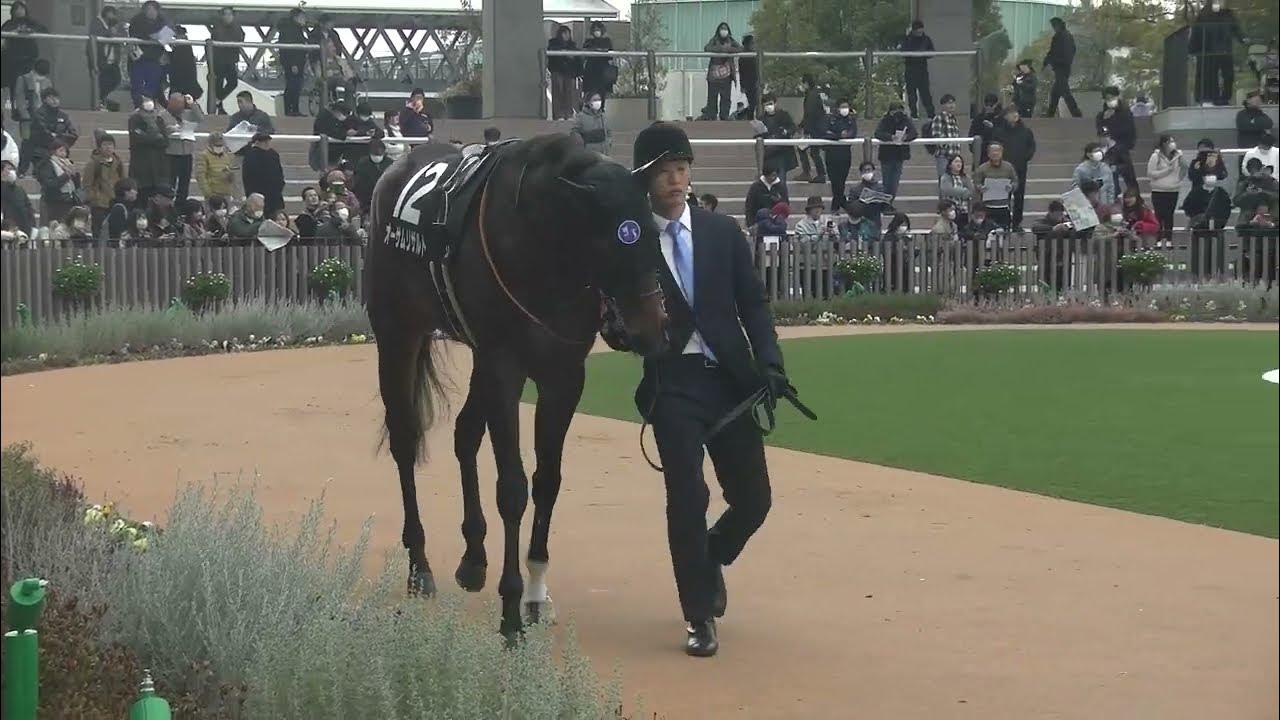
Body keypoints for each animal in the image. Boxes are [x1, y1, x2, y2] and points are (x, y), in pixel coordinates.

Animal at [366, 134, 668, 639]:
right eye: (610, 242)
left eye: (653, 235)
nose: (651, 331)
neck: (540, 247)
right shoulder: (506, 367)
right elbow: (512, 487)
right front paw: (510, 613)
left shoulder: (563, 374)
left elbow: (548, 480)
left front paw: (535, 593)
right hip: (397, 332)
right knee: (405, 440)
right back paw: (420, 565)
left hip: (477, 358)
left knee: (465, 434)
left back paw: (473, 558)